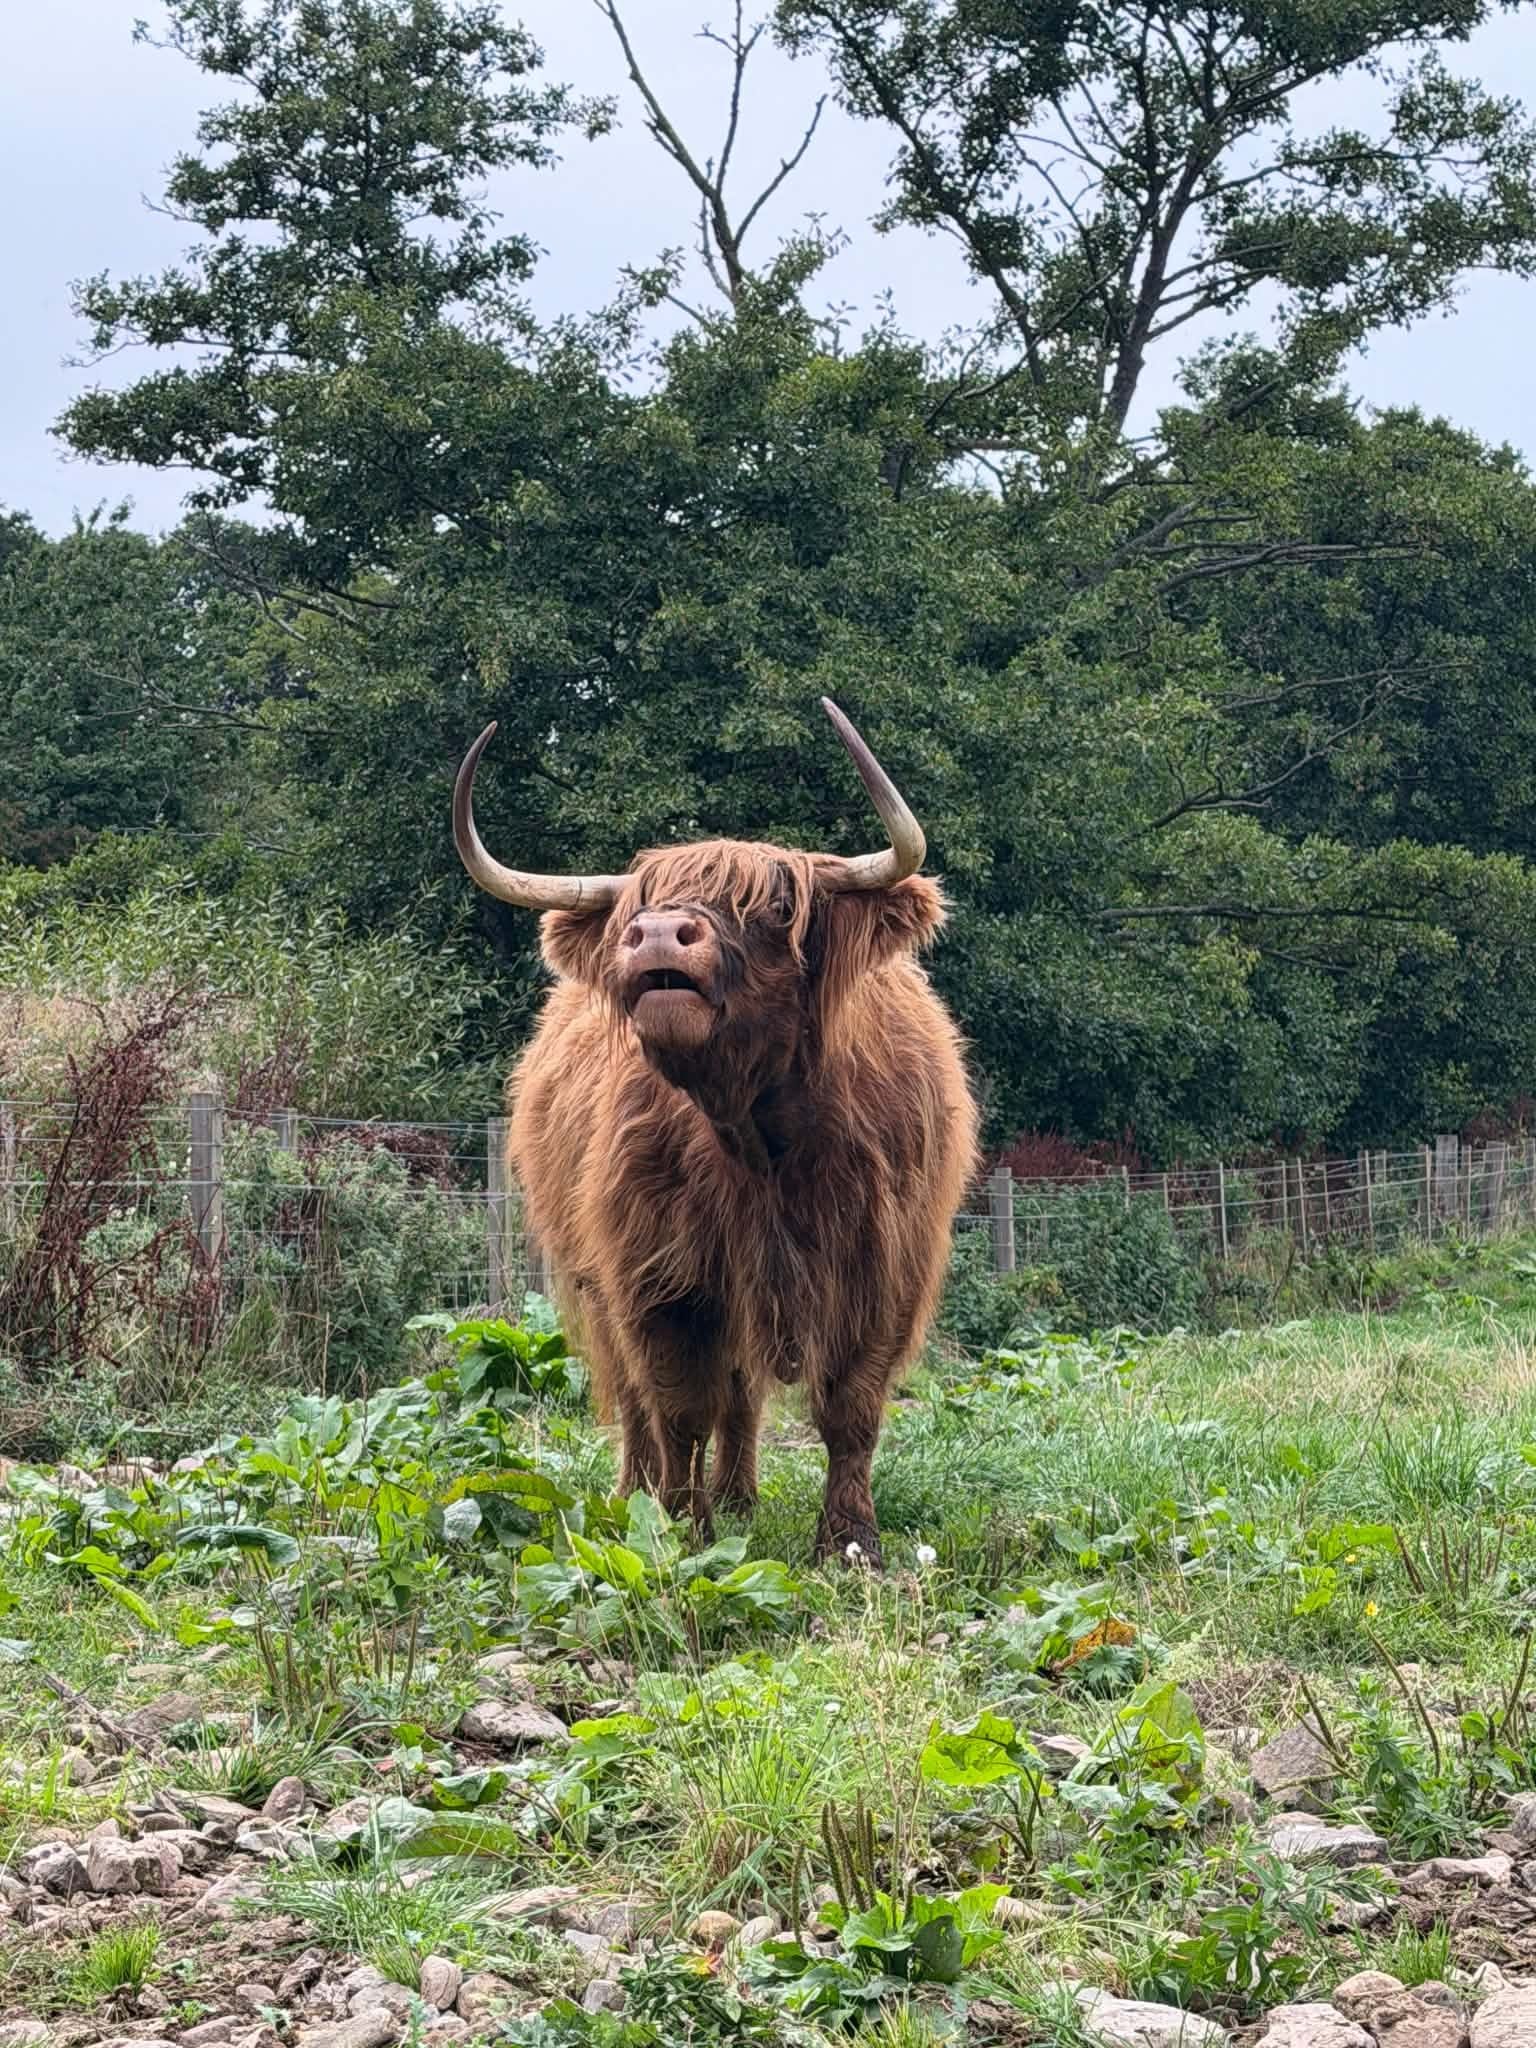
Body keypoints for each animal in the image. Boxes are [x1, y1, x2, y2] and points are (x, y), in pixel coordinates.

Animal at [452, 700, 979, 1566]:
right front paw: (679, 1531)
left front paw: (851, 1544)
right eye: (636, 911)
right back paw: (645, 1498)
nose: (659, 936)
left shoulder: (885, 1264)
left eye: (774, 909)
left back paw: (738, 1499)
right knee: (643, 1399)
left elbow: (851, 1406)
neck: (763, 1139)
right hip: (600, 1282)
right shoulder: (659, 1271)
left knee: (741, 1393)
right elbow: (678, 1408)